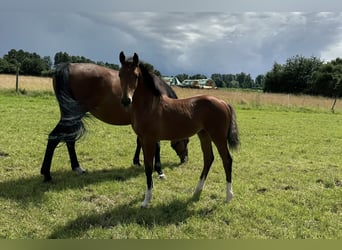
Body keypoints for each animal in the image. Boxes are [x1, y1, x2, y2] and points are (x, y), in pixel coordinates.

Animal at [41, 63, 190, 182]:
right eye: (187, 140)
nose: (185, 159)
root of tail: (68, 66)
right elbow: (157, 146)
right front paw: (159, 171)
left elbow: (139, 142)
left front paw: (137, 161)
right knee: (54, 138)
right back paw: (47, 174)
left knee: (69, 141)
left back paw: (77, 168)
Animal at [119, 51, 239, 208]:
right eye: (120, 74)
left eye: (136, 76)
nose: (126, 100)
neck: (150, 106)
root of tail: (223, 103)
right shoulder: (145, 140)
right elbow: (147, 165)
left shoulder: (149, 140)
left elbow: (148, 166)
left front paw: (146, 200)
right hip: (204, 135)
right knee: (208, 158)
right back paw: (197, 190)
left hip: (218, 136)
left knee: (227, 160)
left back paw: (229, 196)